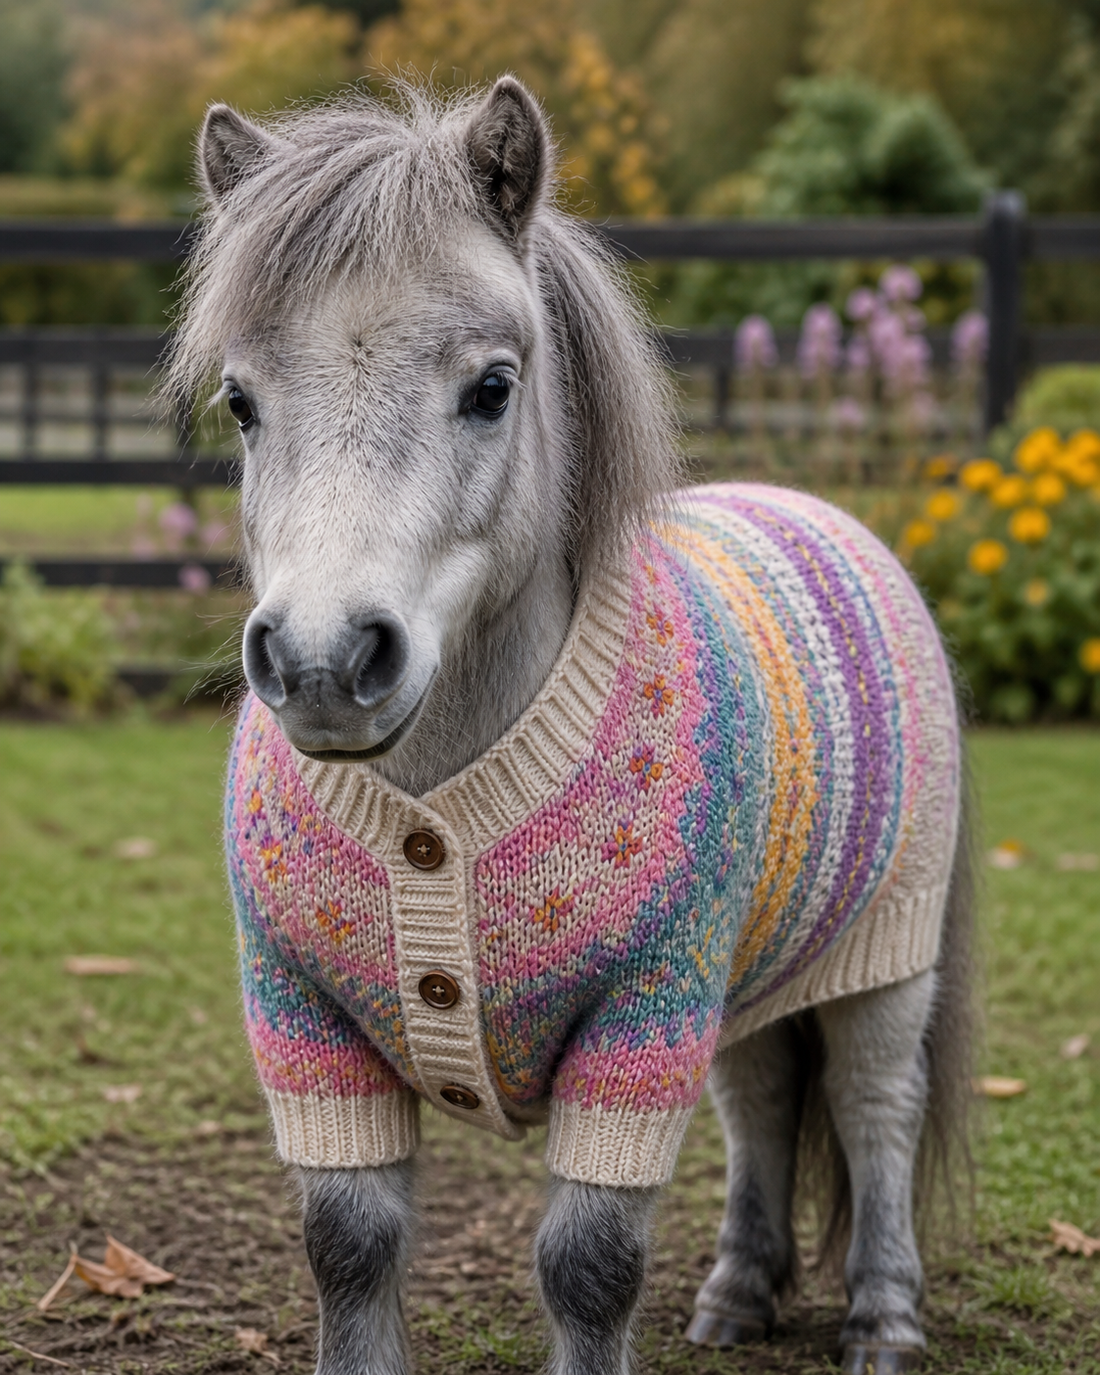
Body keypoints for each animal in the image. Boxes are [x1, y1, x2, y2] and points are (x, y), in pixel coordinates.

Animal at [168, 78, 974, 1375]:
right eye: (240, 402)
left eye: (491, 387)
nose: (323, 664)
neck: (435, 808)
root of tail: (810, 505)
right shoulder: (301, 1020)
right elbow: (348, 1246)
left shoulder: (640, 1023)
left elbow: (589, 1266)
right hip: (737, 984)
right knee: (760, 1100)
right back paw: (738, 1293)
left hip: (880, 960)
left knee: (872, 1108)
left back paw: (881, 1318)